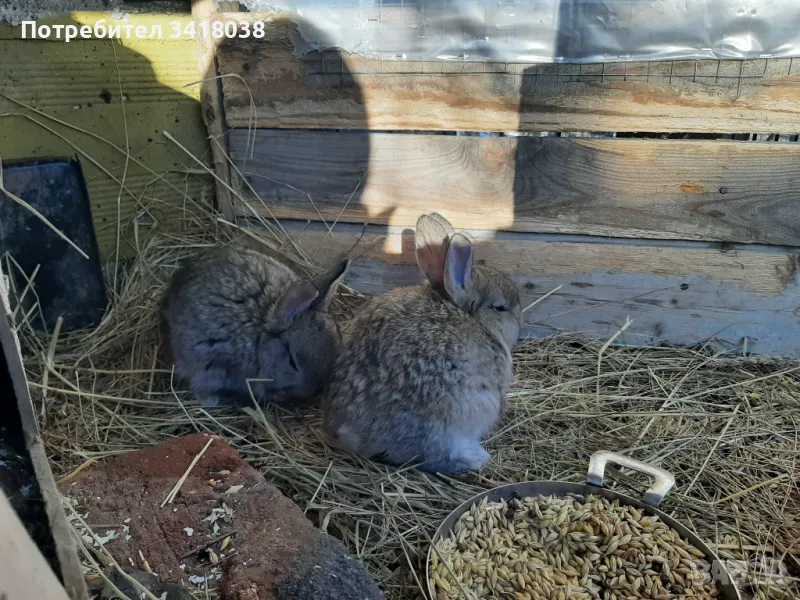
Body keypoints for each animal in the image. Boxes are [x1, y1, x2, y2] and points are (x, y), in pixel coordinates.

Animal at [322, 213, 522, 474]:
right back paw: (475, 459)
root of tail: (354, 433)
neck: (471, 317)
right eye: (500, 308)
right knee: (436, 455)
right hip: (459, 412)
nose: (519, 319)